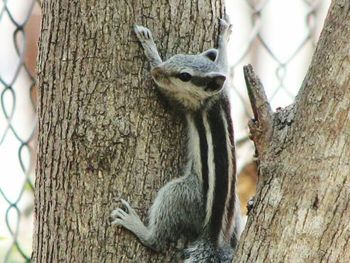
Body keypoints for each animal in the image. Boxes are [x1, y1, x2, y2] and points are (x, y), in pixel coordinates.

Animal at [111, 19, 243, 263]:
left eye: (184, 76)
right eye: (176, 56)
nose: (156, 71)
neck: (212, 96)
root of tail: (214, 237)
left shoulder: (182, 100)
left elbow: (165, 90)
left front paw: (150, 47)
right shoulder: (223, 81)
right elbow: (224, 64)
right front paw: (224, 36)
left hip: (183, 194)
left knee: (157, 239)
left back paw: (137, 225)